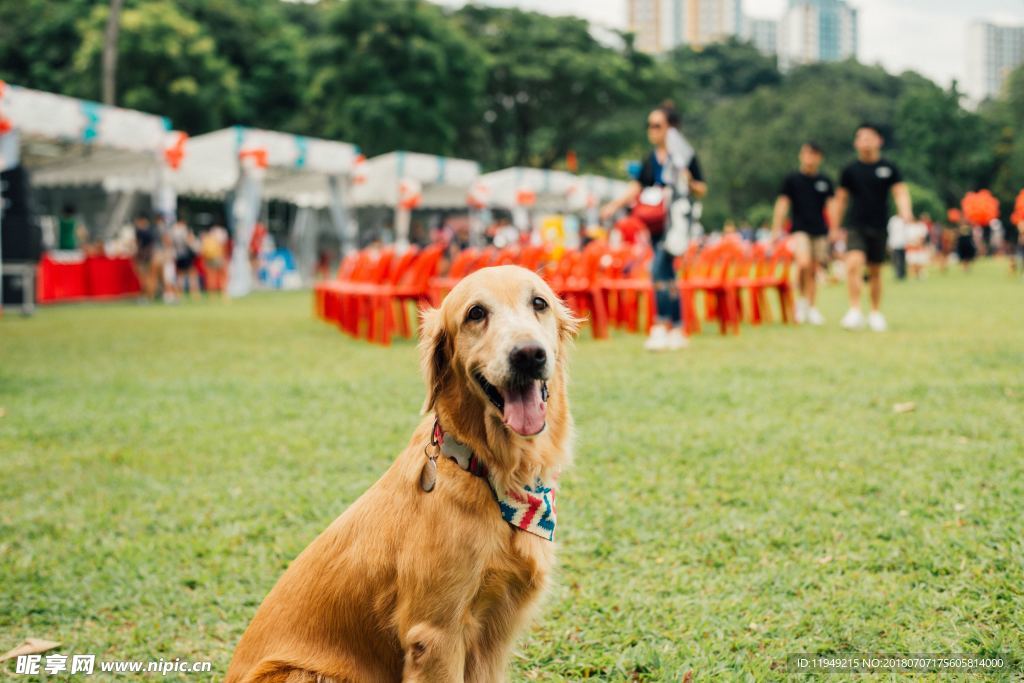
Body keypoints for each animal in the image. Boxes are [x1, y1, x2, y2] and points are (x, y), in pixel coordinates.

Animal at [229, 264, 581, 679]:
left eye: (539, 303)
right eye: (476, 313)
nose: (528, 355)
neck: (487, 471)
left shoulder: (493, 638)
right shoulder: (436, 634)